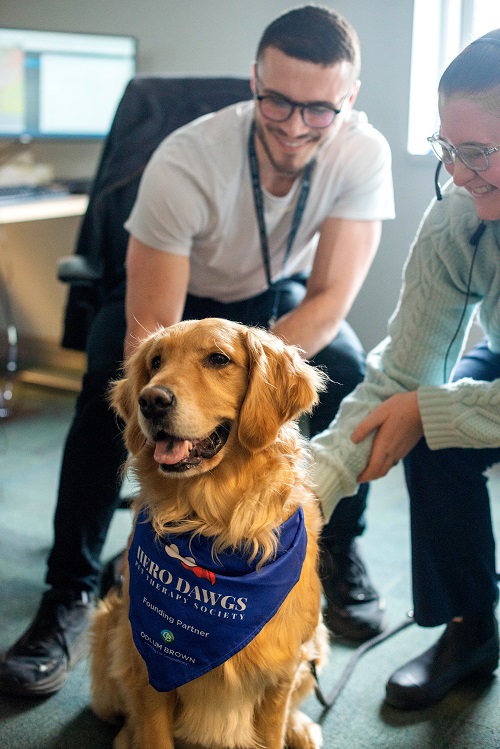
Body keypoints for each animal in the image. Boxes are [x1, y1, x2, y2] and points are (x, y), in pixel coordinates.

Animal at [89, 318, 332, 748]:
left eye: (218, 359)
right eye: (155, 362)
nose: (151, 400)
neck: (212, 525)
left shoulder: (281, 671)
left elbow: (273, 728)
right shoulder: (145, 669)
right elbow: (153, 734)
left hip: (317, 644)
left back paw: (301, 728)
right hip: (108, 636)